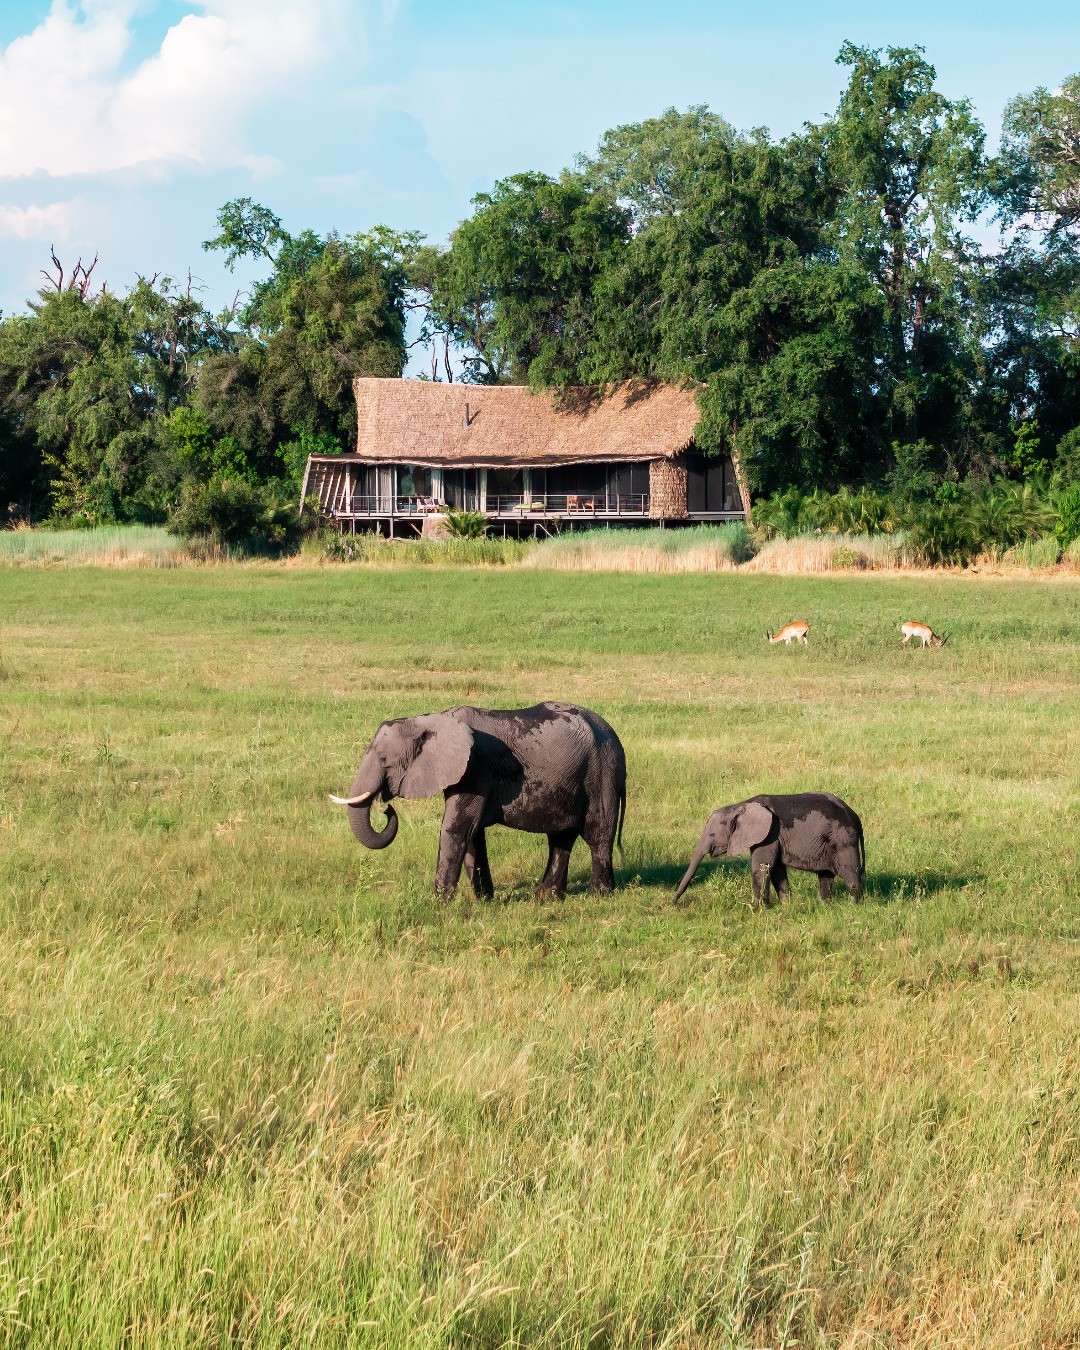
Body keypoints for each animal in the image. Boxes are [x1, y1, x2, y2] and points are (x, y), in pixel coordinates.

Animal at [333, 702, 629, 901]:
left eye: (385, 761)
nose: (386, 808)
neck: (432, 720)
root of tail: (614, 736)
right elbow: (473, 835)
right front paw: (485, 901)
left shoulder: (474, 769)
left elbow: (456, 828)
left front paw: (439, 904)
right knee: (560, 838)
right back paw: (546, 897)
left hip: (601, 773)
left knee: (597, 835)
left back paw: (598, 896)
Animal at [669, 788, 864, 907]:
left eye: (711, 835)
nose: (672, 903)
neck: (740, 806)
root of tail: (854, 815)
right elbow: (777, 869)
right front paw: (785, 905)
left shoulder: (770, 833)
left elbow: (761, 867)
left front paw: (755, 909)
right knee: (825, 876)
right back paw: (825, 905)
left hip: (843, 839)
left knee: (849, 872)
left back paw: (853, 906)